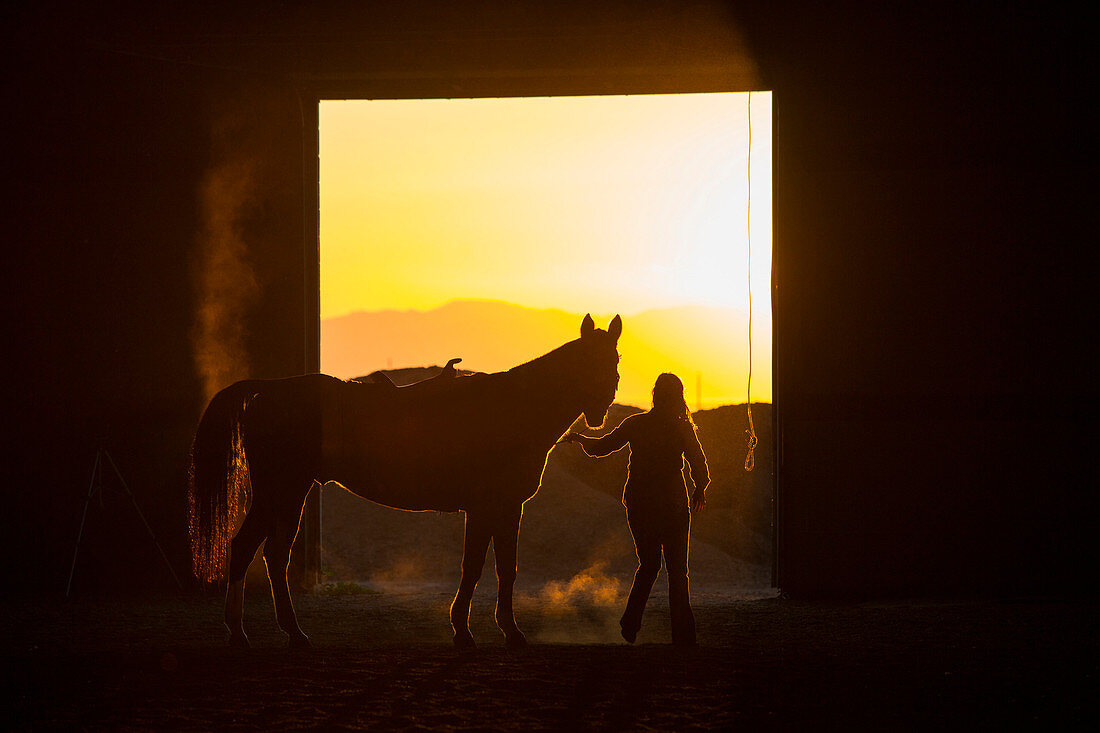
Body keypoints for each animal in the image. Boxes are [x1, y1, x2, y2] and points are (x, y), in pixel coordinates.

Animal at [189, 312, 620, 647]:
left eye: (613, 361)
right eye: (589, 361)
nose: (601, 410)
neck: (514, 408)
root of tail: (271, 390)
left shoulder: (503, 509)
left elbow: (501, 568)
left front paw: (496, 630)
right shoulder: (489, 508)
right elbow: (477, 567)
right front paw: (474, 632)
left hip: (286, 495)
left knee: (264, 553)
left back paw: (270, 632)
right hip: (283, 492)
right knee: (258, 552)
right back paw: (261, 632)